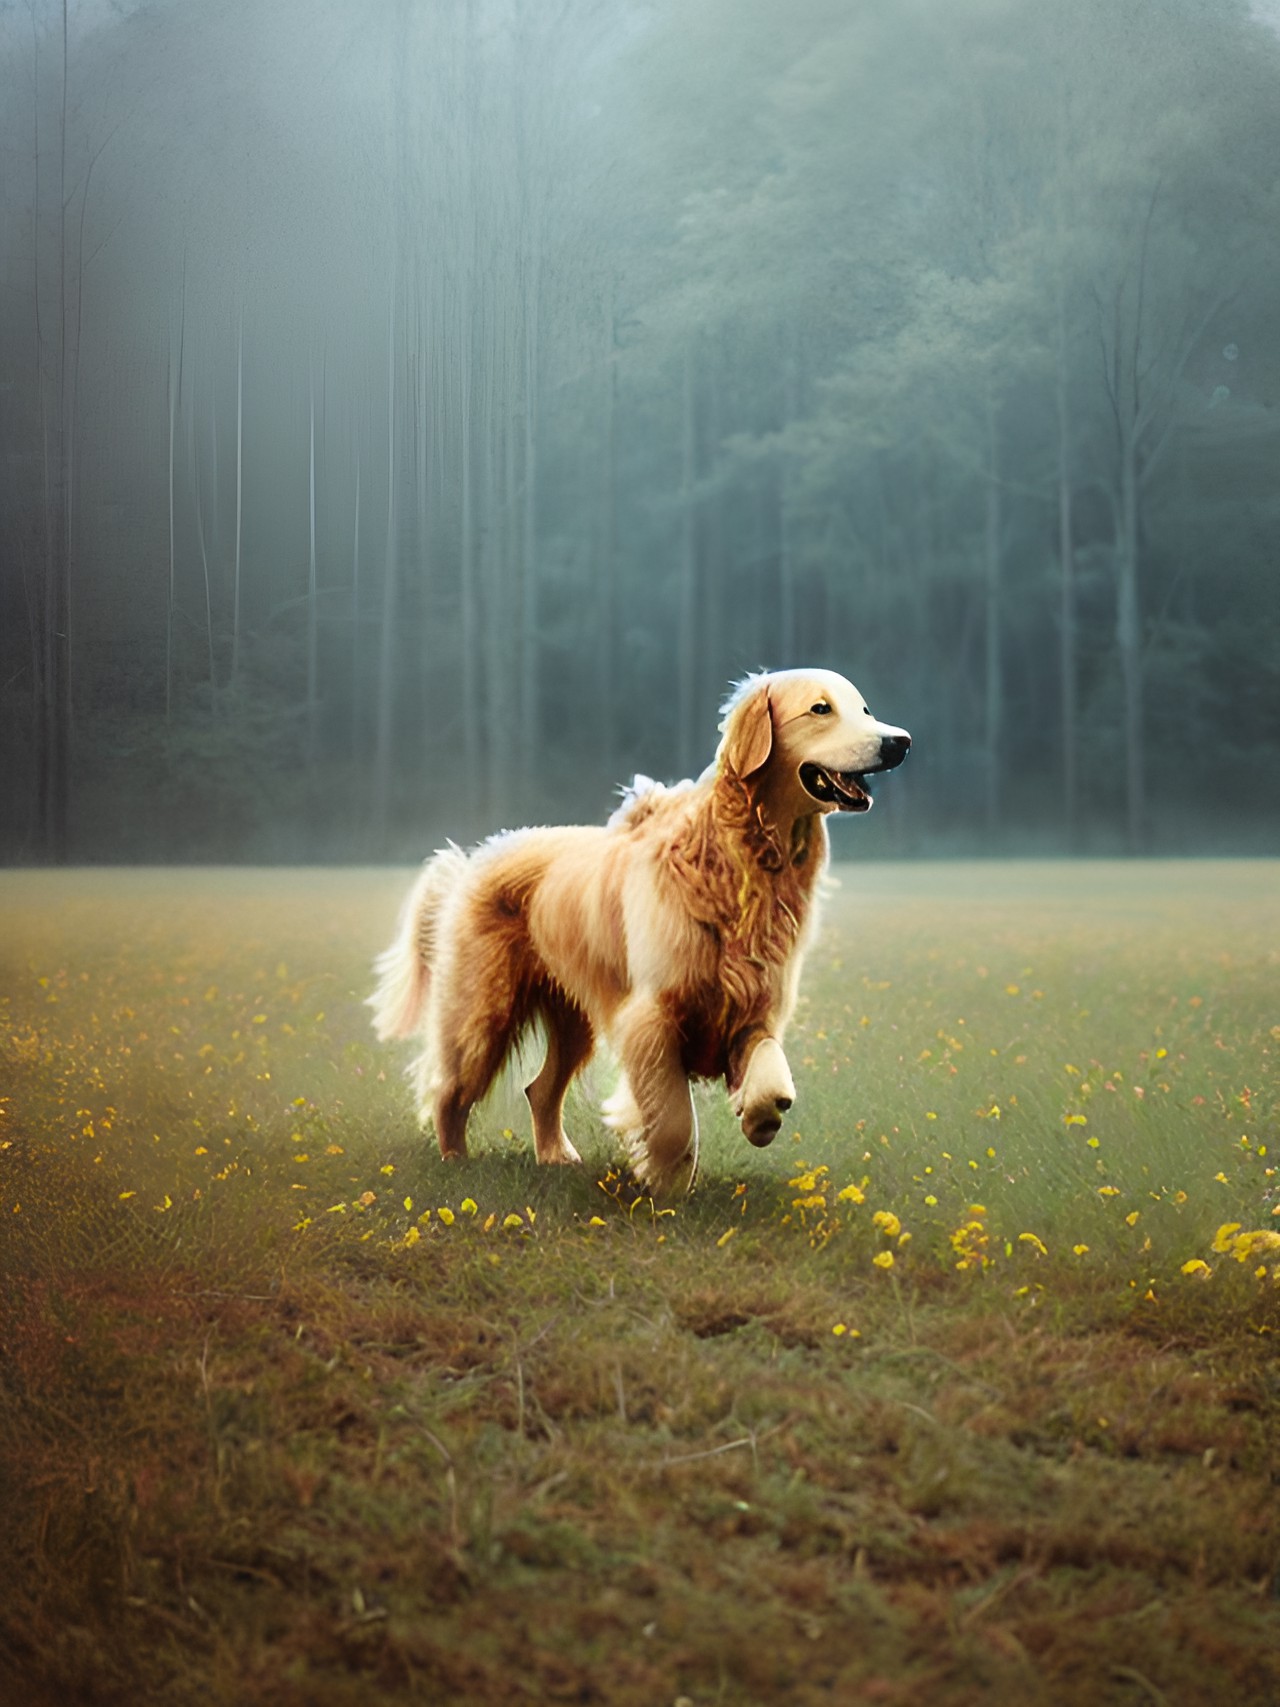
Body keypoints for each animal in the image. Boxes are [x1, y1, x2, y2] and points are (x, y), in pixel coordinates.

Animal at [370, 658, 914, 1194]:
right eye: (821, 709)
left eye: (865, 709)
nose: (900, 742)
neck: (742, 861)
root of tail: (476, 857)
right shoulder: (652, 1017)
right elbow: (673, 1120)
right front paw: (668, 1186)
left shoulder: (753, 1009)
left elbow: (771, 1072)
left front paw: (760, 1119)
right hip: (483, 1014)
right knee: (449, 1089)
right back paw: (454, 1163)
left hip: (573, 1019)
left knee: (539, 1089)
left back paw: (556, 1158)